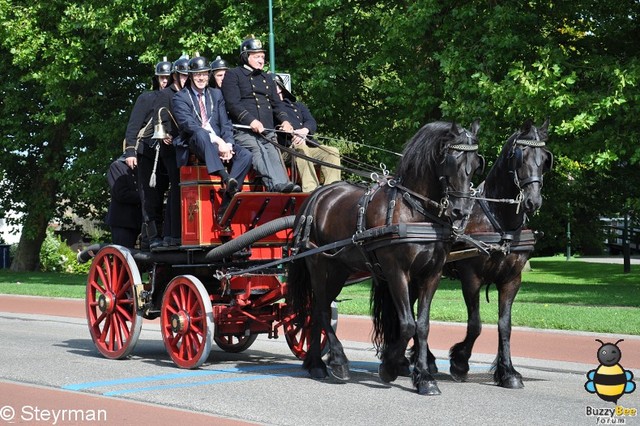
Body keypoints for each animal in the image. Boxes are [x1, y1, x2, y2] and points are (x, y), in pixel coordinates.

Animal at [288, 119, 482, 392]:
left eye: (475, 164)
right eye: (451, 161)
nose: (460, 212)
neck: (414, 210)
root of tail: (317, 195)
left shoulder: (431, 274)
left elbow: (422, 326)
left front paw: (424, 377)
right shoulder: (396, 271)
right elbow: (408, 324)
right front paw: (389, 366)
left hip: (338, 270)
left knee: (317, 308)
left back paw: (316, 364)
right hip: (318, 265)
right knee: (322, 309)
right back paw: (337, 362)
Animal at [440, 118, 556, 388]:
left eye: (545, 158)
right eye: (520, 155)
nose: (533, 201)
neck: (498, 220)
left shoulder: (512, 279)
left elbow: (505, 326)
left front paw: (508, 372)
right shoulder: (471, 278)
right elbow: (475, 324)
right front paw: (459, 362)